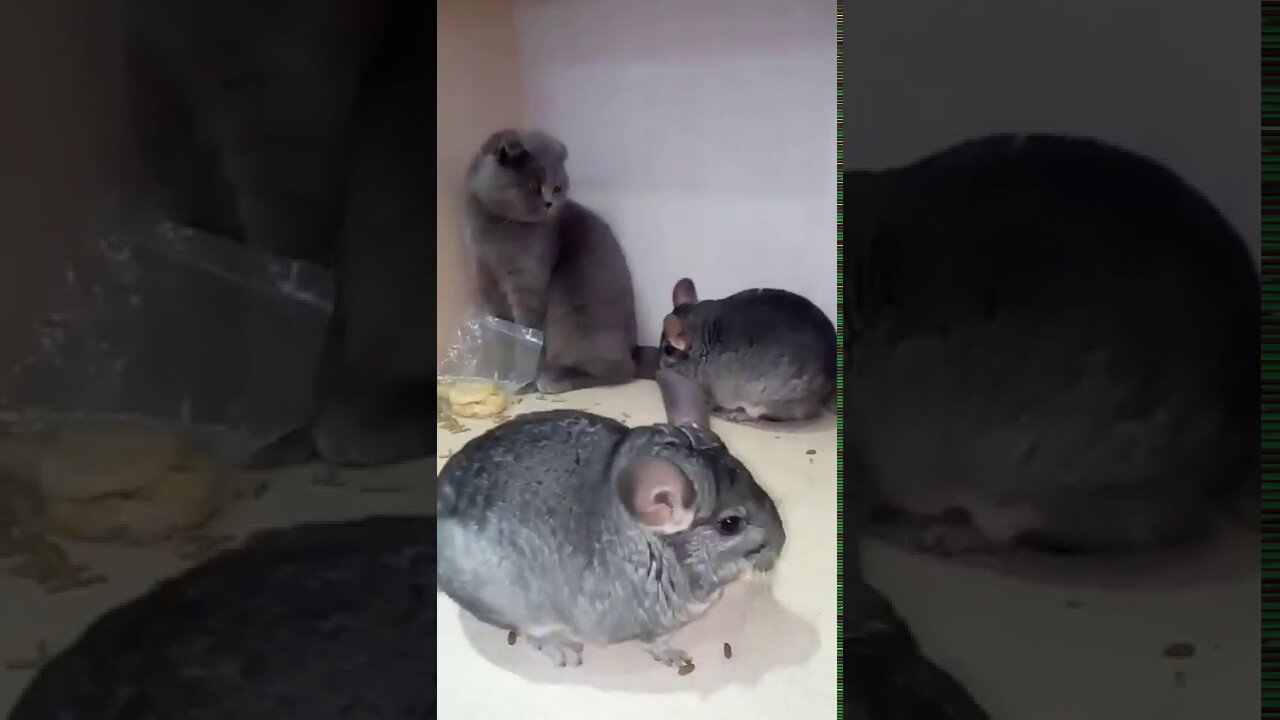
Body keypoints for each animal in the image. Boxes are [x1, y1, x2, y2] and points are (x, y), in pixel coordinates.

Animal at [465, 128, 655, 392]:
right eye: (534, 185)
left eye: (556, 188)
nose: (549, 203)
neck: (497, 225)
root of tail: (634, 347)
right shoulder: (486, 273)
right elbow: (501, 326)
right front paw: (501, 371)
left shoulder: (528, 281)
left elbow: (526, 330)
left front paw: (522, 378)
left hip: (572, 326)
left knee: (621, 369)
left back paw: (554, 379)